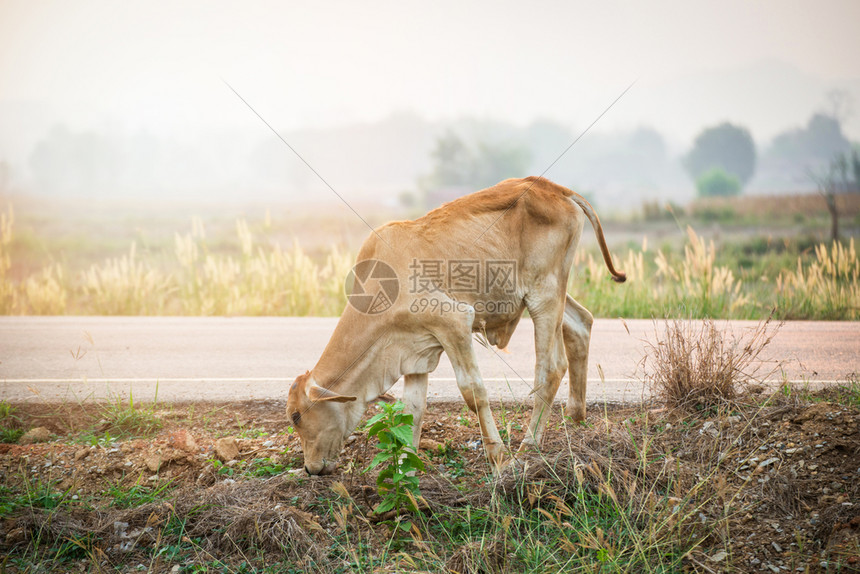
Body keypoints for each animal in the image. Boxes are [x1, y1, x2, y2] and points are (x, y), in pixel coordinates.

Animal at [286, 178, 620, 474]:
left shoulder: (454, 323)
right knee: (582, 323)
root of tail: (556, 188)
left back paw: (528, 447)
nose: (311, 469)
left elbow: (473, 392)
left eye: (296, 416)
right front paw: (405, 468)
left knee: (551, 367)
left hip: (544, 295)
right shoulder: (415, 351)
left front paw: (499, 459)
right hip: (553, 294)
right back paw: (576, 417)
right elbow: (413, 409)